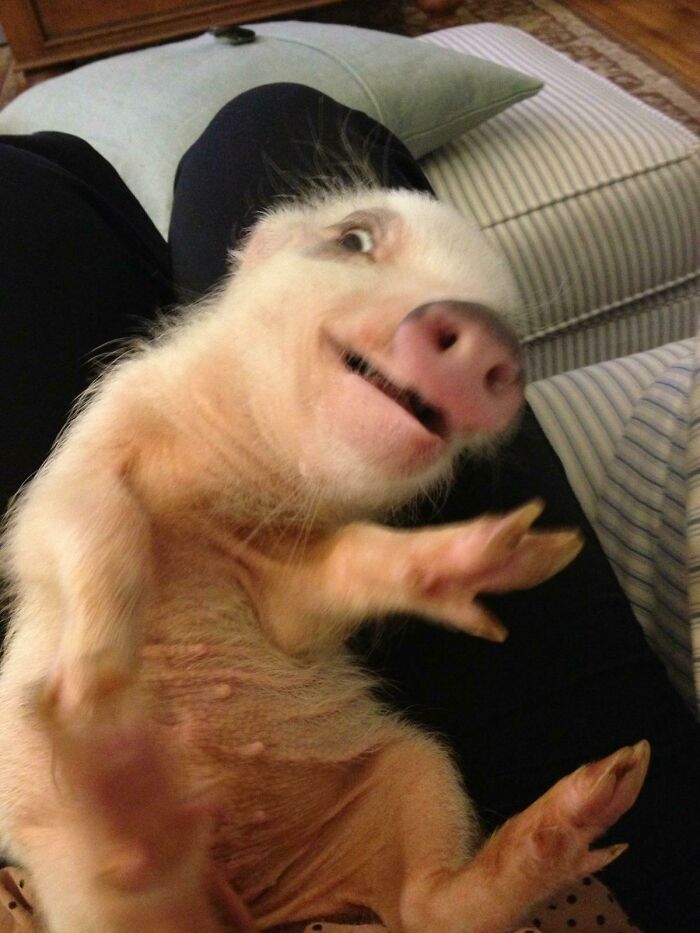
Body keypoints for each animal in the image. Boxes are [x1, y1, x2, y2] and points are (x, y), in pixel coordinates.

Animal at [0, 186, 649, 933]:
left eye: (505, 316)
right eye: (353, 240)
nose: (487, 333)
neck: (229, 489)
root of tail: (253, 908)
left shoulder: (282, 584)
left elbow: (335, 575)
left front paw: (530, 550)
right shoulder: (74, 466)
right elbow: (95, 524)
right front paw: (91, 683)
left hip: (415, 767)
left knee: (429, 908)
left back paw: (607, 786)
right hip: (61, 862)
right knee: (124, 893)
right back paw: (115, 766)